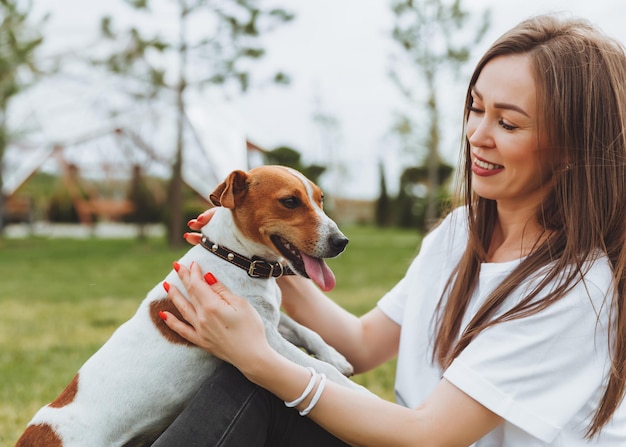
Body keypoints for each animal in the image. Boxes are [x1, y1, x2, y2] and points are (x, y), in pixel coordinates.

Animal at [17, 166, 360, 447]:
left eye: (321, 199)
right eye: (289, 201)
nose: (342, 242)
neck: (235, 259)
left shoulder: (271, 320)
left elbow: (308, 332)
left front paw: (335, 355)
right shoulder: (261, 335)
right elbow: (320, 369)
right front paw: (353, 392)